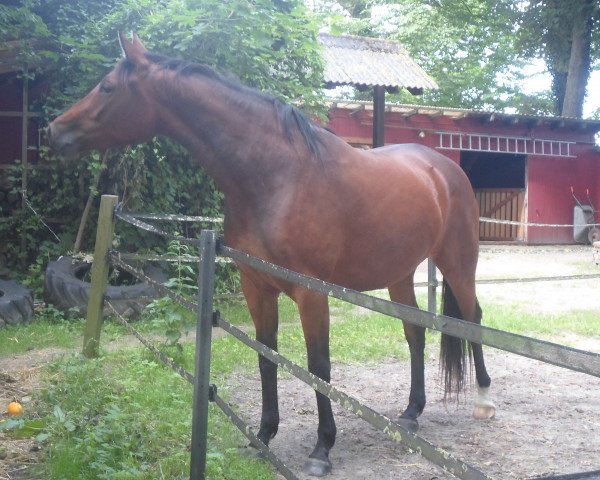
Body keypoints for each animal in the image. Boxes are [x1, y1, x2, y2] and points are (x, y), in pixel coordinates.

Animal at [49, 32, 494, 476]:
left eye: (107, 87)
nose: (55, 130)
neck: (277, 176)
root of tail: (444, 169)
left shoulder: (311, 293)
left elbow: (318, 366)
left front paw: (321, 450)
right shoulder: (256, 286)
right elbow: (266, 356)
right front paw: (262, 436)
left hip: (457, 262)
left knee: (472, 318)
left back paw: (484, 400)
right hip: (399, 273)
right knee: (415, 333)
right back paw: (410, 413)